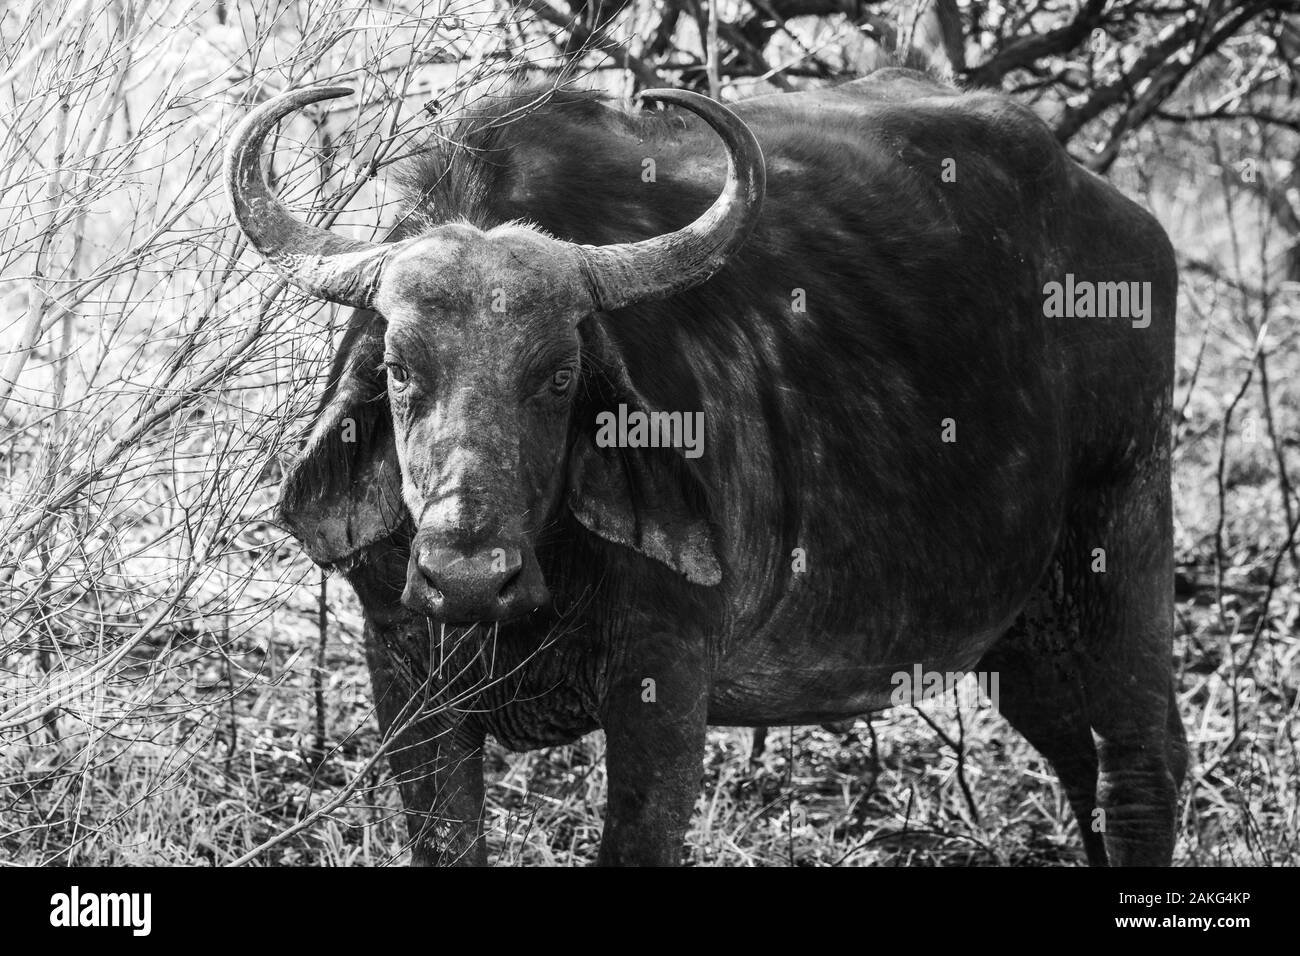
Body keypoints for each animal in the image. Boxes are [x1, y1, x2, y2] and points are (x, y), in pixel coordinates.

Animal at [226, 69, 1190, 868]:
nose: (465, 574)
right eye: (398, 369)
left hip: (1123, 533)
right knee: (1073, 753)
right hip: (1023, 631)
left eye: (560, 375)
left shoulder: (665, 676)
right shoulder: (403, 666)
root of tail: (1128, 225)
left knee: (1139, 764)